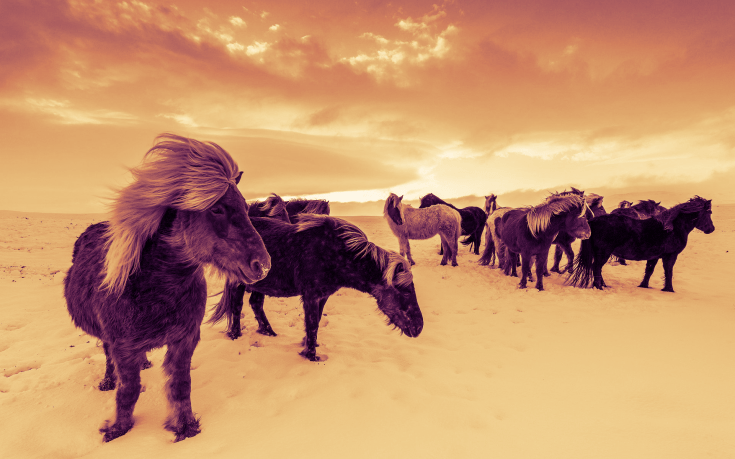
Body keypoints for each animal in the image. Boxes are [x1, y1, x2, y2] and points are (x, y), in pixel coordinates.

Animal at [63, 134, 271, 442]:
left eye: (246, 208)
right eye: (217, 208)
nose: (263, 265)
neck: (156, 288)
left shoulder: (185, 340)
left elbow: (180, 385)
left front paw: (185, 427)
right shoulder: (123, 346)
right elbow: (128, 390)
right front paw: (117, 429)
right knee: (108, 356)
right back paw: (108, 380)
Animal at [209, 214, 424, 361]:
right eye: (404, 290)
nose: (419, 327)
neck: (335, 253)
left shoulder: (323, 296)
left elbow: (316, 321)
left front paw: (309, 345)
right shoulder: (311, 296)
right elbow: (311, 323)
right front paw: (311, 356)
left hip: (260, 284)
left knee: (255, 303)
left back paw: (269, 332)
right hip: (239, 283)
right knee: (236, 307)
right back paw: (235, 335)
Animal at [567, 196, 714, 292]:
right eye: (709, 213)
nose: (711, 229)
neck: (671, 228)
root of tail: (593, 221)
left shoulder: (654, 256)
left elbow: (649, 271)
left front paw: (644, 285)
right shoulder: (670, 256)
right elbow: (668, 271)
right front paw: (669, 289)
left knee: (597, 268)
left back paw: (603, 285)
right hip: (603, 253)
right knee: (596, 267)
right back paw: (599, 287)